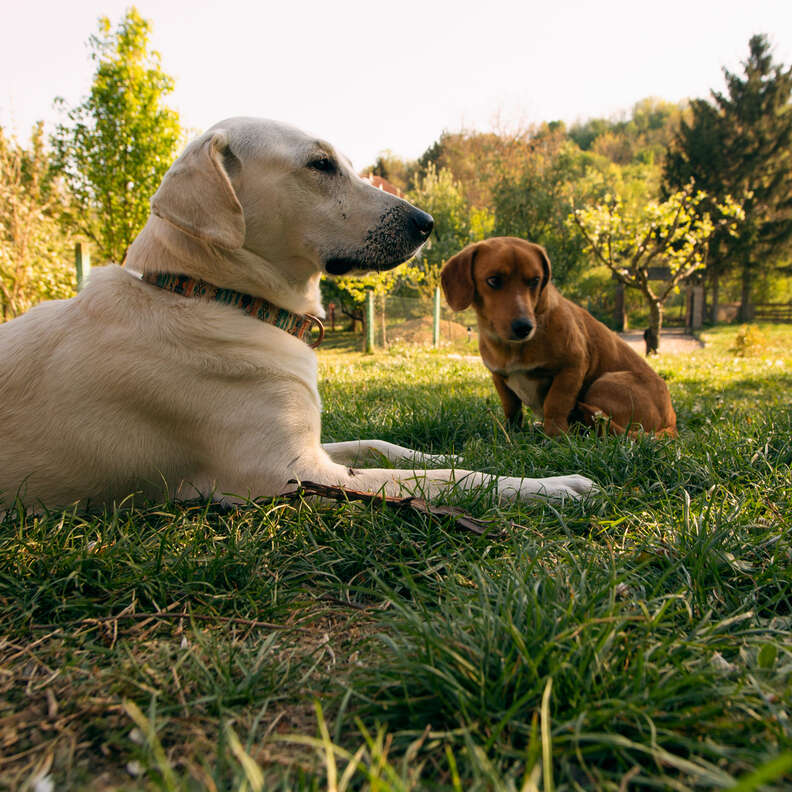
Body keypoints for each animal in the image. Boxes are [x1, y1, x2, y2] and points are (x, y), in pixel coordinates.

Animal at [0, 120, 592, 510]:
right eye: (320, 164)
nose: (427, 223)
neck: (212, 295)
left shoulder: (312, 449)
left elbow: (388, 447)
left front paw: (440, 450)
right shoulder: (292, 474)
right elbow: (450, 480)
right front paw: (551, 486)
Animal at [442, 238, 676, 436]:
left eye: (535, 280)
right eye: (493, 280)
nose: (524, 327)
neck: (513, 347)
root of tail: (670, 423)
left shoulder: (571, 368)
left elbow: (555, 405)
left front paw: (555, 438)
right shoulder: (499, 378)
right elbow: (512, 410)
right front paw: (512, 434)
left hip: (605, 382)